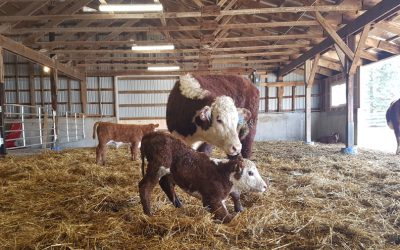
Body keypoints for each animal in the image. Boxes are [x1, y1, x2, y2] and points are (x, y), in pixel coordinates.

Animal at [139, 132, 268, 224]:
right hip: (157, 166)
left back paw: (179, 205)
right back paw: (148, 213)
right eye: (250, 173)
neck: (223, 173)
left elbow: (236, 196)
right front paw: (234, 218)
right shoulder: (211, 199)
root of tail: (149, 135)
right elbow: (224, 215)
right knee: (144, 186)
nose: (265, 186)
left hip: (168, 172)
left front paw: (241, 210)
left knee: (166, 184)